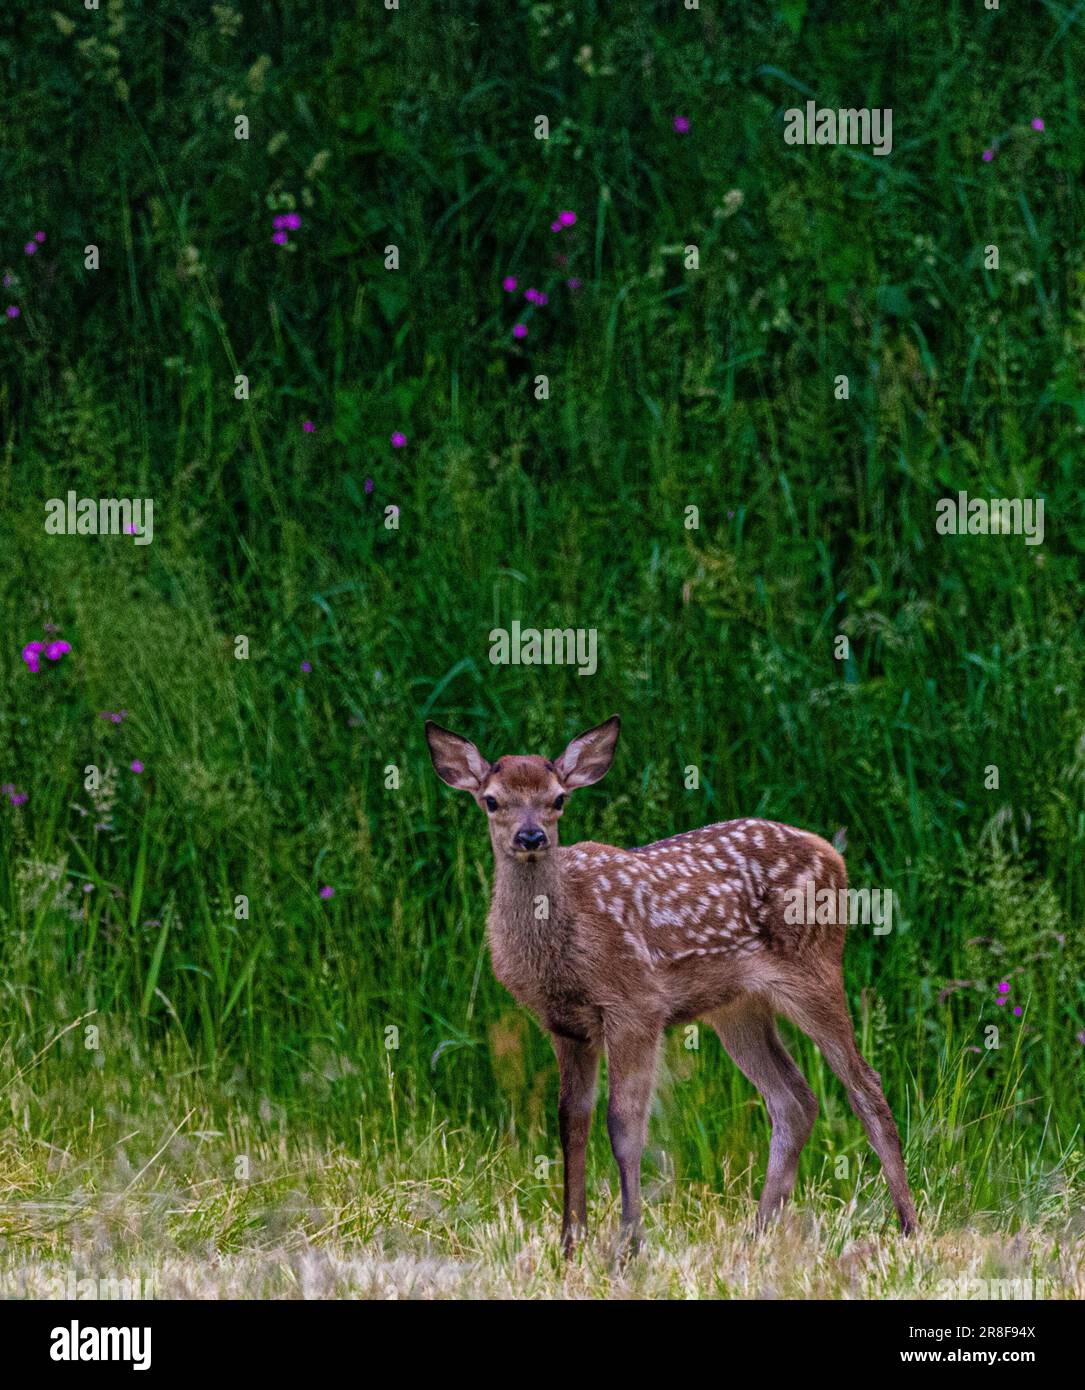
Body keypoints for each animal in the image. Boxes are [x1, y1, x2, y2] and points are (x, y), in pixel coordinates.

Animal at [425, 714, 918, 1253]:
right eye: (492, 800)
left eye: (559, 799)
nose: (532, 837)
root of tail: (835, 855)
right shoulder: (565, 1024)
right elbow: (571, 1125)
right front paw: (570, 1245)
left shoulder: (635, 1004)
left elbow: (624, 1127)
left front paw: (628, 1245)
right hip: (737, 1006)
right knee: (794, 1100)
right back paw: (757, 1234)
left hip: (815, 968)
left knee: (864, 1084)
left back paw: (908, 1226)